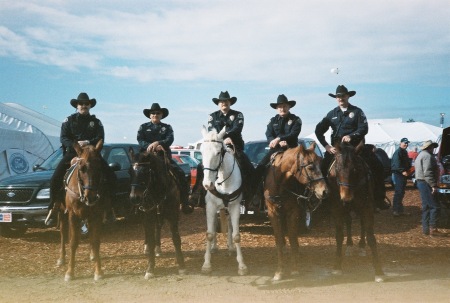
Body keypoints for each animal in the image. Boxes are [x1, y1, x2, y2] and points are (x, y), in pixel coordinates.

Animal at [57, 140, 106, 282]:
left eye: (99, 167)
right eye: (81, 168)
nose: (91, 196)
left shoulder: (97, 215)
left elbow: (96, 241)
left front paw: (98, 271)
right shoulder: (73, 215)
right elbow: (73, 242)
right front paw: (69, 272)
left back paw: (92, 255)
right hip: (62, 212)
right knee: (62, 233)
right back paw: (61, 258)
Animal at [127, 150, 185, 280]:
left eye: (145, 172)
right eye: (130, 171)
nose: (134, 198)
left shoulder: (173, 216)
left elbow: (176, 238)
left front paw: (181, 265)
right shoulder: (148, 216)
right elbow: (150, 238)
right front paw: (150, 269)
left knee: (158, 229)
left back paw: (158, 249)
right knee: (147, 232)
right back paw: (147, 248)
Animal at [201, 124, 250, 276]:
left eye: (218, 153)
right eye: (201, 152)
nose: (207, 184)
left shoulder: (235, 207)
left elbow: (236, 235)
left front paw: (242, 265)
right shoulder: (210, 206)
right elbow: (209, 234)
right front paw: (206, 264)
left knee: (229, 224)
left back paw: (230, 248)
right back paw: (214, 248)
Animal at [264, 144, 326, 282]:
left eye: (320, 164)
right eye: (310, 167)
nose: (324, 191)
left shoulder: (293, 212)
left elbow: (292, 238)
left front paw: (294, 269)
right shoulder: (273, 213)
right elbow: (279, 241)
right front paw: (279, 271)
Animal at [326, 141, 386, 284]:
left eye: (355, 169)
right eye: (337, 170)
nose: (346, 198)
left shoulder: (367, 208)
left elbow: (371, 237)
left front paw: (379, 271)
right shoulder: (337, 209)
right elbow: (339, 236)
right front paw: (337, 266)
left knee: (362, 225)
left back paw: (361, 246)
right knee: (348, 222)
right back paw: (349, 245)